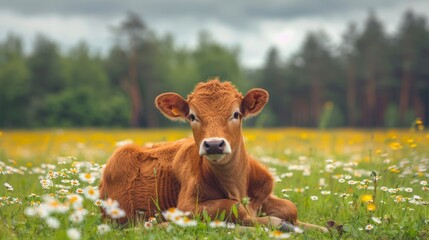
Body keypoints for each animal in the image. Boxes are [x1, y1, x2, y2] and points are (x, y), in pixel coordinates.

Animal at [99, 79, 328, 232]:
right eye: (192, 116)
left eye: (236, 114)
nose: (214, 144)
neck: (236, 186)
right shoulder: (185, 208)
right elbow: (235, 208)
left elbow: (291, 207)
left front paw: (322, 227)